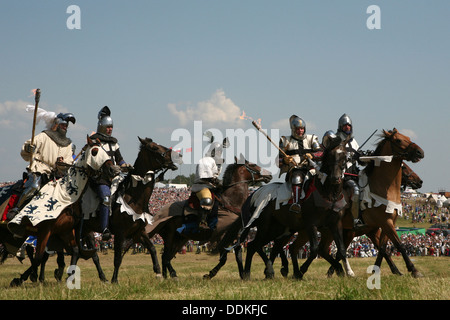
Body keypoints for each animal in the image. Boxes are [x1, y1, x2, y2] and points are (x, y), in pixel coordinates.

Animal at [7, 136, 118, 286]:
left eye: (105, 151)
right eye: (95, 151)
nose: (113, 170)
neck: (66, 196)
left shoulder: (65, 231)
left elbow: (77, 251)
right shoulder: (46, 230)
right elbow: (40, 257)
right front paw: (20, 279)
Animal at [80, 136, 180, 284]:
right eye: (154, 147)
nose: (175, 157)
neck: (134, 198)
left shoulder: (139, 232)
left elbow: (152, 249)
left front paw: (158, 272)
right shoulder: (120, 234)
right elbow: (117, 258)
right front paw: (115, 280)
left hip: (86, 231)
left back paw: (101, 278)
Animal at [234, 136, 350, 280]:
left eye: (344, 156)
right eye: (330, 156)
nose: (335, 178)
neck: (327, 193)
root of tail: (256, 193)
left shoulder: (335, 224)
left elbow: (341, 249)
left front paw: (345, 271)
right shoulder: (311, 224)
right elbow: (314, 249)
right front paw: (300, 271)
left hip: (276, 229)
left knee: (255, 246)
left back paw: (252, 273)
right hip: (265, 226)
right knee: (256, 245)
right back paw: (257, 272)